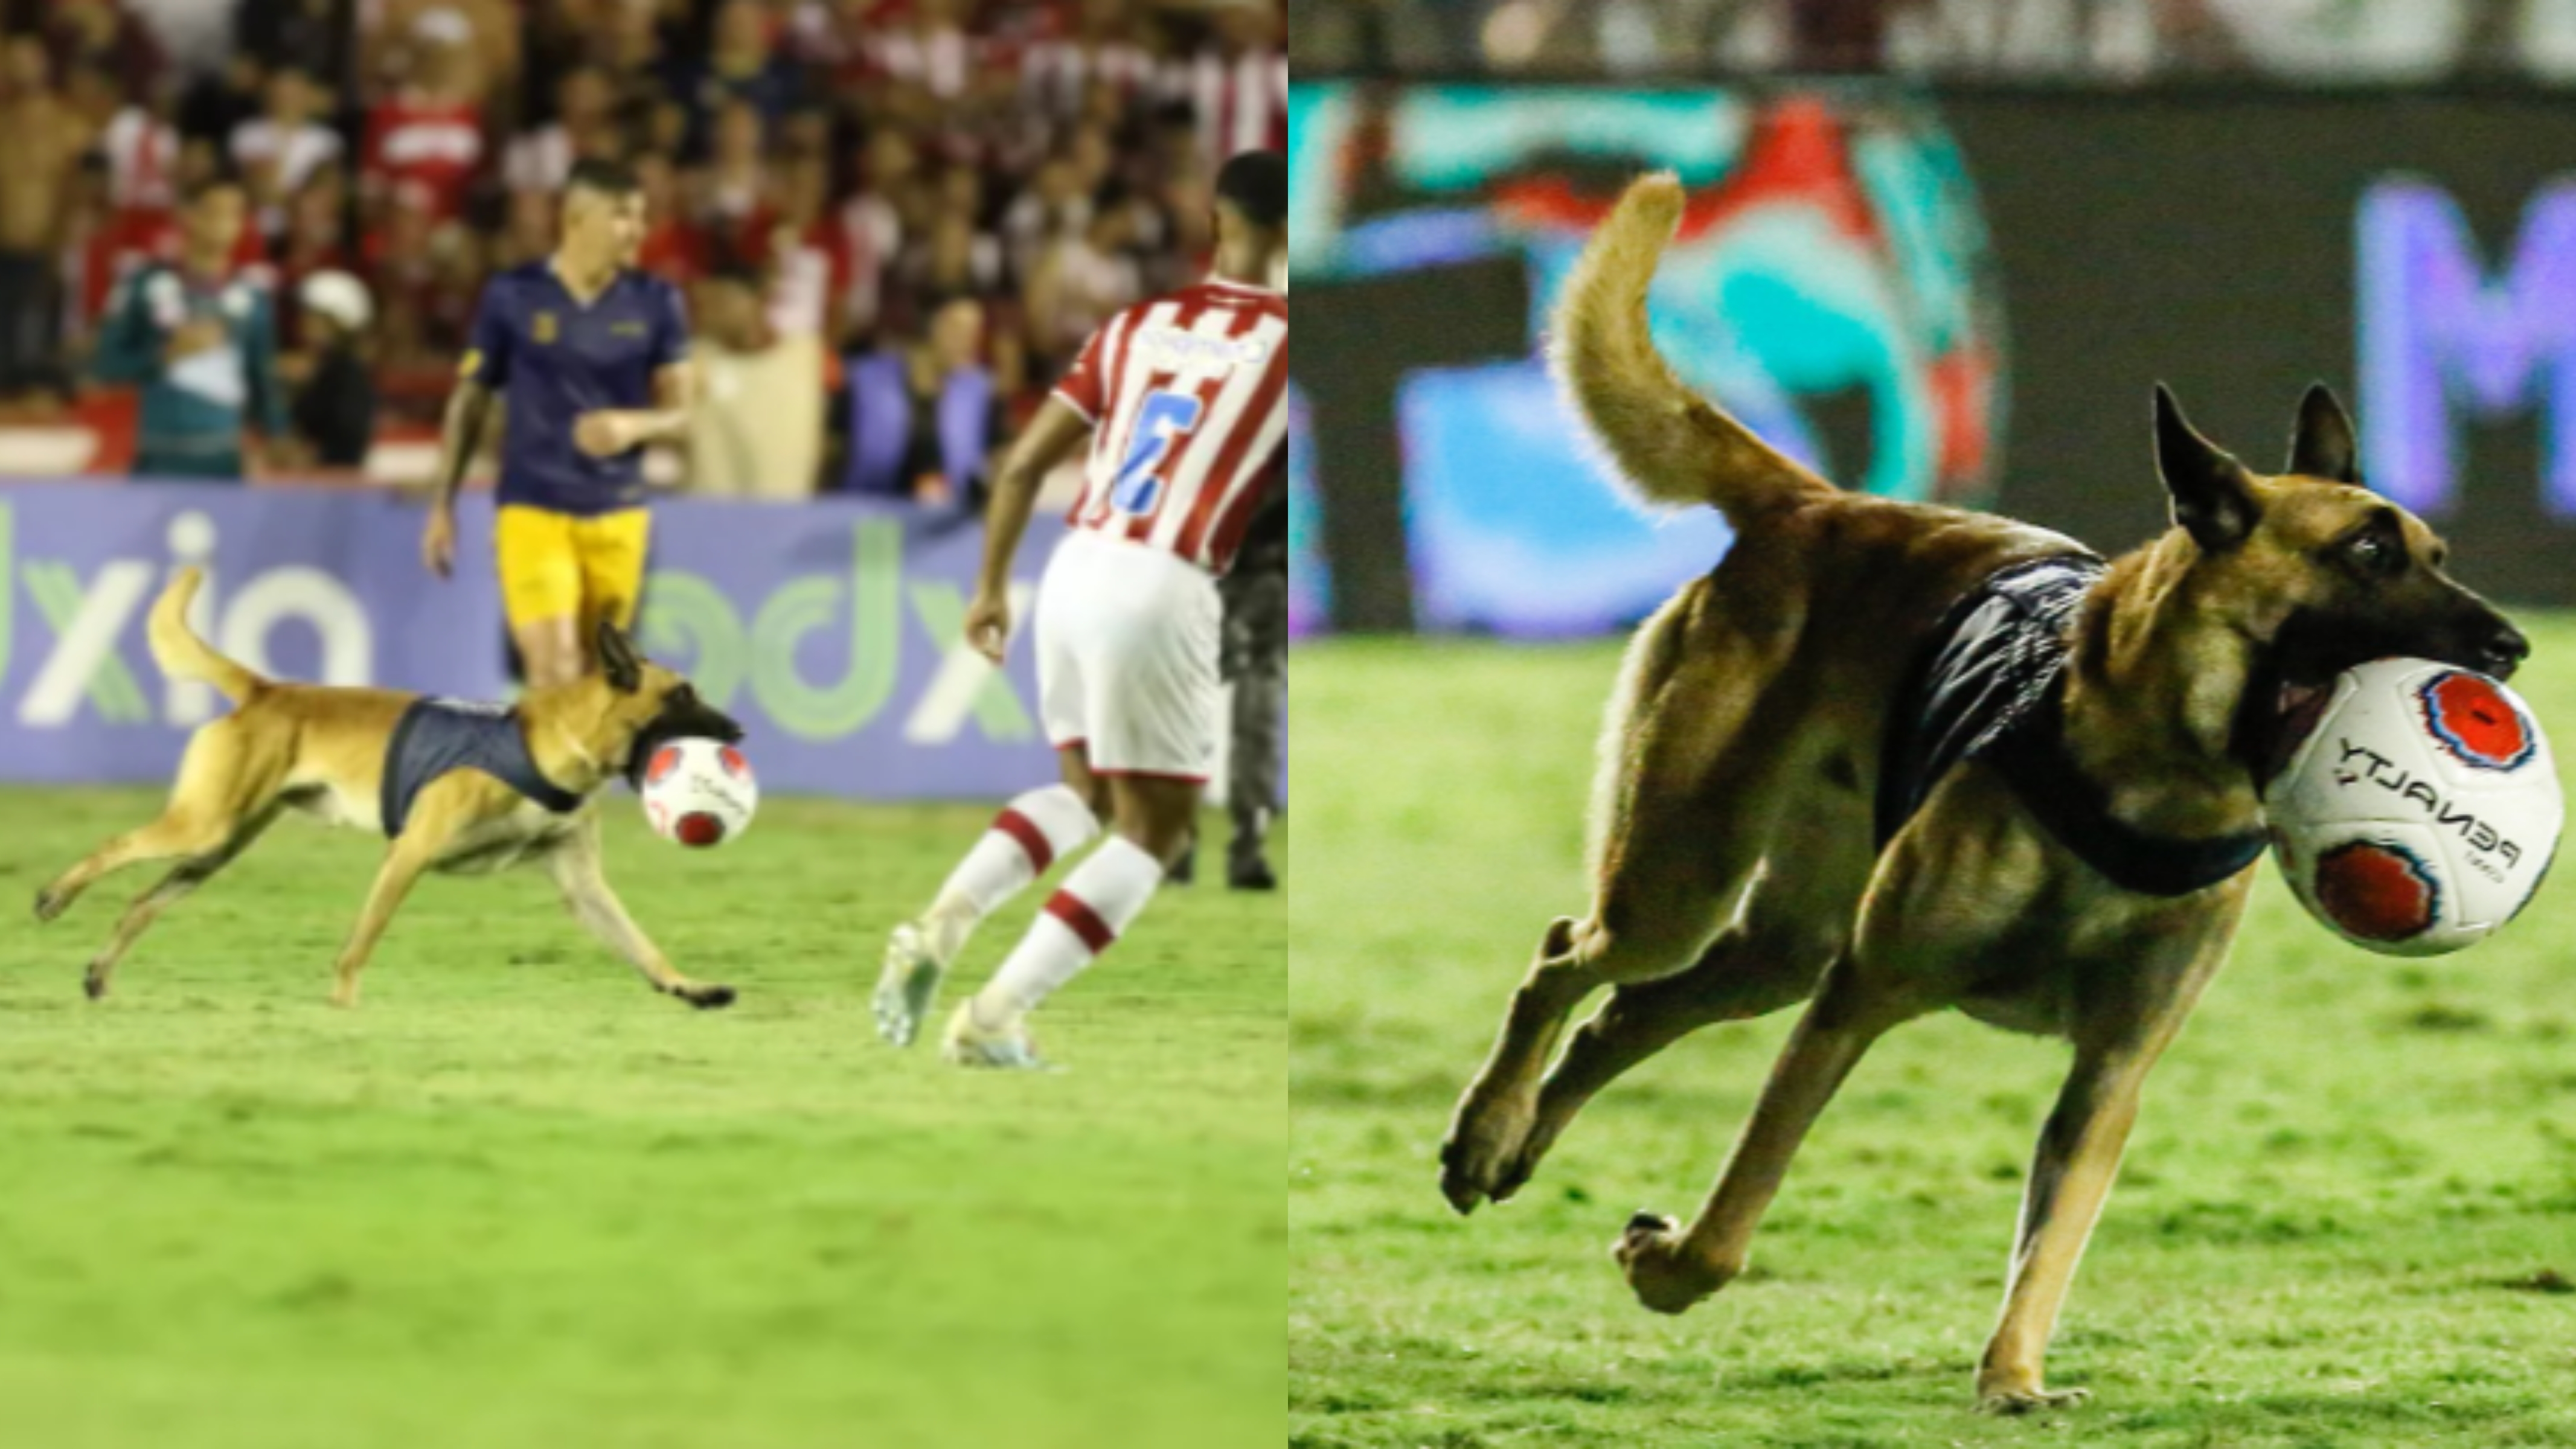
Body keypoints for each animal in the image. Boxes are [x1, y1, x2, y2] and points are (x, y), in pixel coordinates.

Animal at [33, 566, 747, 1009]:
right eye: (683, 695)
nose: (738, 729)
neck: (549, 745)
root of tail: (267, 689)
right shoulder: (408, 855)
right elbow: (361, 943)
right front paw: (343, 1009)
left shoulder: (582, 885)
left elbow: (641, 944)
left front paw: (688, 985)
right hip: (204, 825)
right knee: (113, 847)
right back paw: (54, 894)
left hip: (216, 847)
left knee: (140, 903)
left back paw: (100, 972)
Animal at [1442, 176, 2524, 1410]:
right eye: (2367, 553)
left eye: (2433, 552)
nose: (2512, 651)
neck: (2152, 782)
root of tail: (1814, 505)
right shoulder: (1858, 995)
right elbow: (1737, 1210)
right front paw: (1668, 1269)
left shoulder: (2109, 1074)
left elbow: (2048, 1245)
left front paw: (2014, 1378)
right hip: (1683, 884)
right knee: (1565, 957)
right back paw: (1486, 1131)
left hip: (1773, 950)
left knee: (1619, 1015)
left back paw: (1519, 1139)